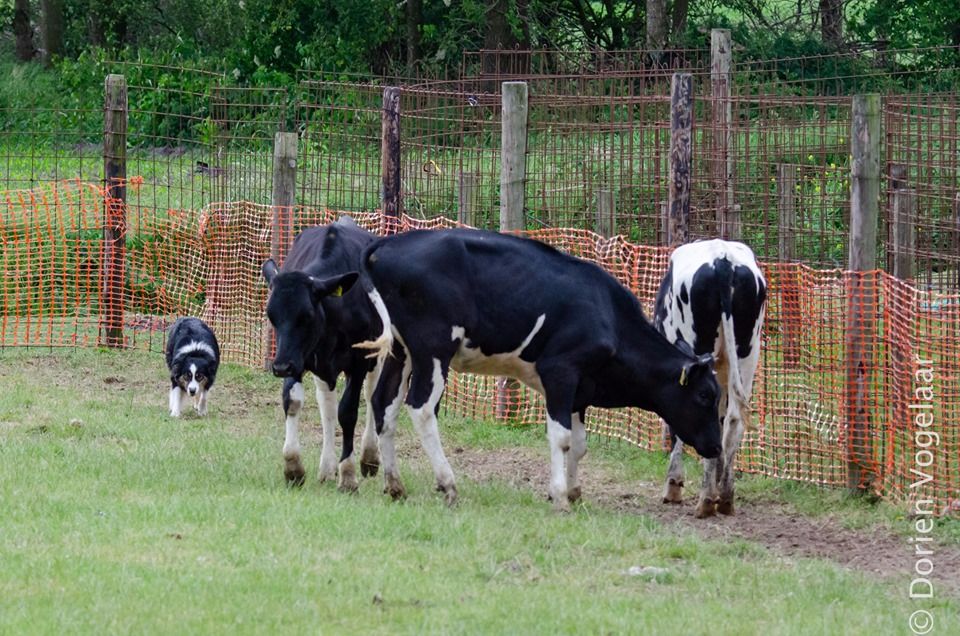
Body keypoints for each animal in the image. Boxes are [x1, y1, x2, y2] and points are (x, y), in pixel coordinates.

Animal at [264, 219, 384, 492]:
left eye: (306, 315)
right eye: (271, 315)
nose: (279, 367)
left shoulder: (358, 362)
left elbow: (348, 412)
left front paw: (348, 475)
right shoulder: (297, 358)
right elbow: (292, 401)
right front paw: (293, 467)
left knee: (372, 394)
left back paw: (369, 457)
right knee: (327, 406)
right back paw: (327, 468)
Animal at [358, 229, 720, 512]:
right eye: (704, 395)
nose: (716, 447)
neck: (608, 318)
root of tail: (390, 243)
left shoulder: (580, 389)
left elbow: (579, 443)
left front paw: (573, 491)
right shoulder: (560, 370)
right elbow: (561, 438)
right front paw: (560, 496)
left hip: (400, 350)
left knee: (384, 405)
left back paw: (395, 484)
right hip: (433, 348)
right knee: (420, 408)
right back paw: (447, 483)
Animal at [652, 237, 764, 516]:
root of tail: (722, 259)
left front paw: (673, 484)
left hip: (702, 346)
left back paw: (705, 500)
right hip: (748, 354)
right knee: (734, 420)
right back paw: (724, 497)